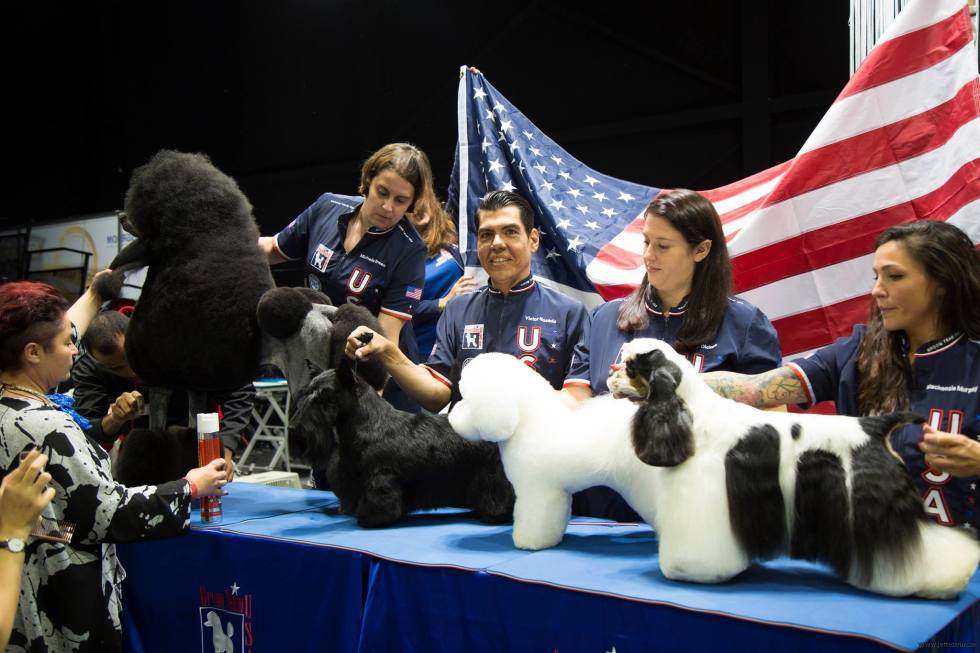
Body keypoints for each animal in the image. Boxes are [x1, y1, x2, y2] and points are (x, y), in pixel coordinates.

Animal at [289, 355, 514, 528]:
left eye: (324, 396)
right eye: (306, 393)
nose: (293, 428)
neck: (368, 423)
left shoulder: (381, 479)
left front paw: (371, 519)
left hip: (493, 473)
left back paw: (495, 514)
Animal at [608, 338, 980, 599]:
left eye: (632, 367)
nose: (611, 373)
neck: (690, 413)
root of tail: (876, 427)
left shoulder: (703, 495)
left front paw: (690, 571)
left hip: (878, 510)